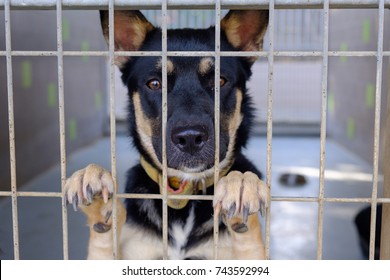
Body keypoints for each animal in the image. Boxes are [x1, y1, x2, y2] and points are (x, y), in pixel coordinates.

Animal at [64, 8, 272, 260]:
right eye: (155, 84)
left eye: (220, 81)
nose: (190, 138)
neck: (184, 195)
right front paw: (96, 192)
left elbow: (249, 240)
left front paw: (240, 183)